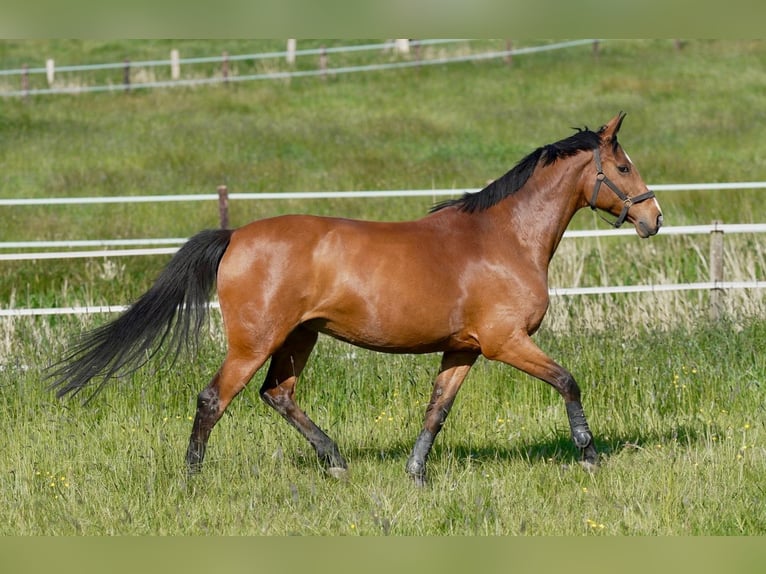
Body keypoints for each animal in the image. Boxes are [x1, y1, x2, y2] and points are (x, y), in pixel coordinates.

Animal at [48, 113, 664, 486]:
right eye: (624, 166)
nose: (654, 218)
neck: (503, 237)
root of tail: (235, 236)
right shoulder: (504, 341)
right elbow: (567, 380)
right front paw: (590, 456)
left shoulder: (463, 348)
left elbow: (436, 410)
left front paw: (415, 474)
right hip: (255, 341)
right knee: (213, 399)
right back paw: (194, 478)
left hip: (299, 337)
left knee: (277, 395)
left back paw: (337, 463)